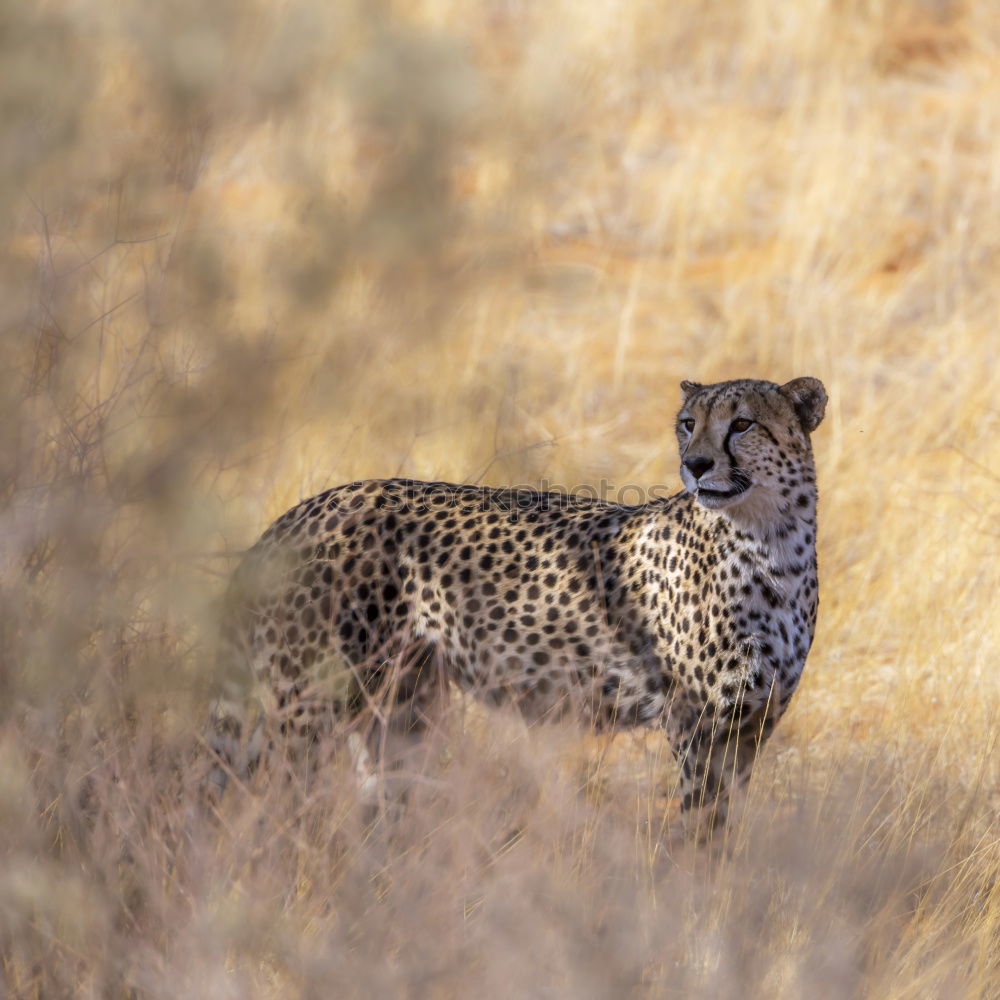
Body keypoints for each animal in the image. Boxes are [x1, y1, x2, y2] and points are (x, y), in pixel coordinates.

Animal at [211, 378, 828, 832]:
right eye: (688, 424)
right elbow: (701, 829)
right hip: (312, 700)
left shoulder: (751, 723)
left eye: (742, 423)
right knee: (272, 798)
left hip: (401, 706)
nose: (696, 464)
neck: (772, 543)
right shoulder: (695, 722)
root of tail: (305, 508)